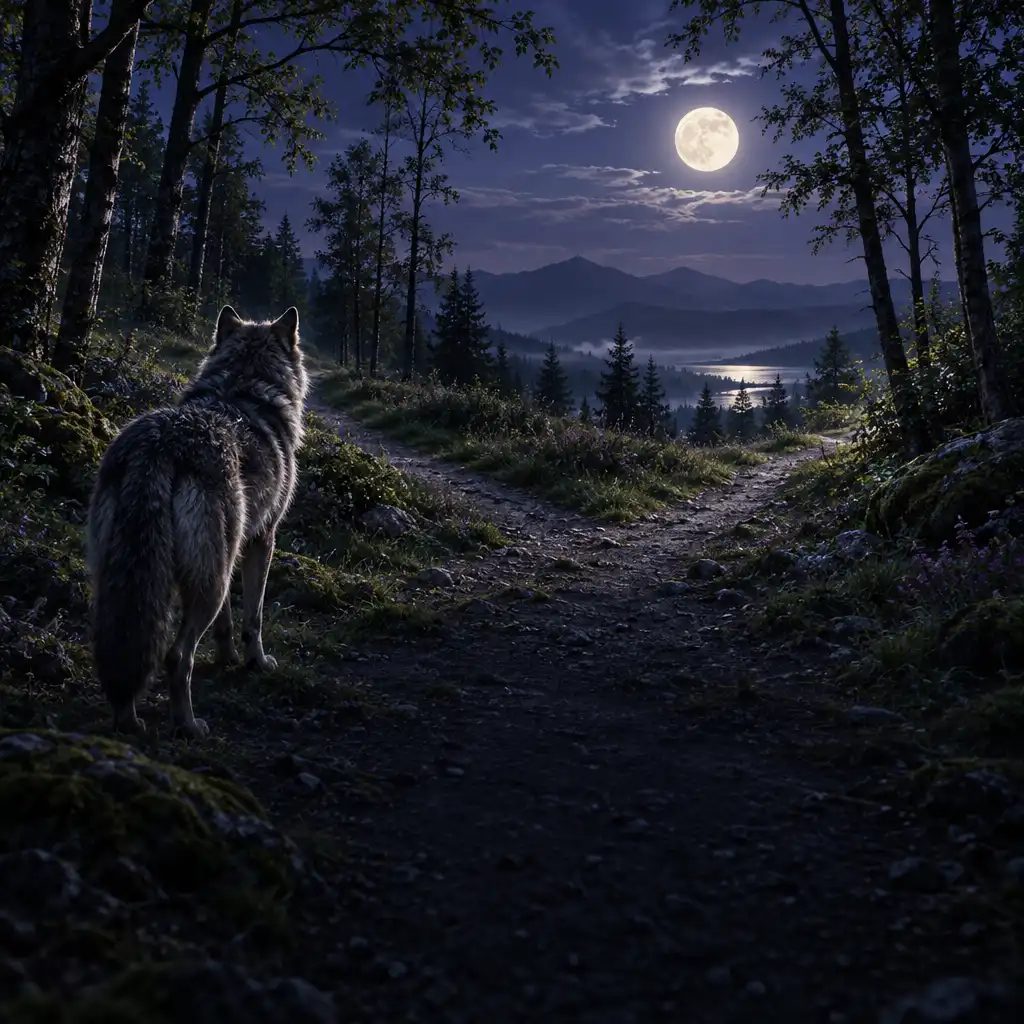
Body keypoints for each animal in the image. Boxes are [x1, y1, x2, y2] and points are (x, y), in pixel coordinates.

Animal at [86, 305, 309, 737]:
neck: (244, 386)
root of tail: (159, 446)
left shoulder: (230, 551)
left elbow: (226, 624)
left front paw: (226, 657)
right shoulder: (262, 539)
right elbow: (254, 618)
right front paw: (255, 662)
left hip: (126, 577)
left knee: (122, 642)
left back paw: (129, 719)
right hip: (211, 584)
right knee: (177, 656)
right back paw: (188, 725)